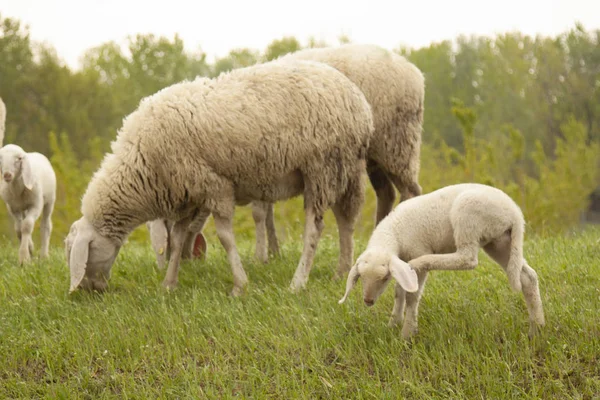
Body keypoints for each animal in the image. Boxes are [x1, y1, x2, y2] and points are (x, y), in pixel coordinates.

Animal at [67, 60, 376, 296]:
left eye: (76, 252)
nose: (86, 291)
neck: (141, 165)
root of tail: (359, 103)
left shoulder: (214, 186)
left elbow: (226, 238)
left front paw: (240, 285)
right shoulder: (187, 195)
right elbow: (177, 239)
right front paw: (169, 284)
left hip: (322, 166)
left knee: (315, 227)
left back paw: (298, 282)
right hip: (346, 168)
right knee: (346, 220)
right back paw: (341, 272)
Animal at [248, 44, 426, 262]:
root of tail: (413, 71)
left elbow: (259, 212)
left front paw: (261, 257)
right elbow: (267, 210)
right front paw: (273, 253)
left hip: (396, 144)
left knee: (410, 191)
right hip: (375, 154)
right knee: (387, 193)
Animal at [340, 184, 548, 338]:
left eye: (384, 278)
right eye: (361, 277)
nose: (368, 300)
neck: (395, 232)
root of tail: (515, 214)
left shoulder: (415, 251)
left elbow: (411, 296)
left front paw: (407, 334)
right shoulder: (400, 264)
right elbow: (399, 292)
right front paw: (394, 322)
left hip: (468, 217)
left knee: (467, 259)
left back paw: (423, 261)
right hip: (499, 241)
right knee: (528, 277)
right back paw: (537, 329)